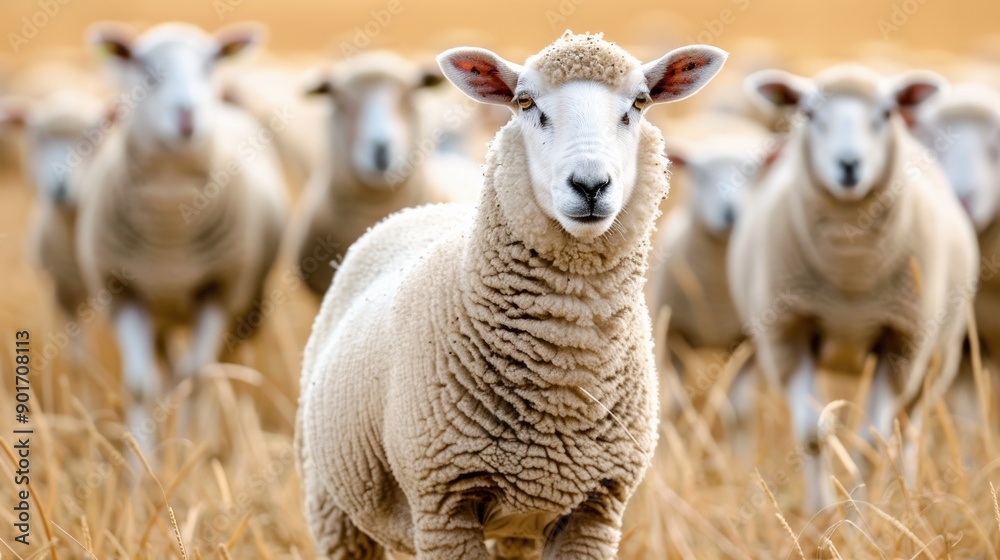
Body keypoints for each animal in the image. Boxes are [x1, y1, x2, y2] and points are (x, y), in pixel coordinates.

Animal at [75, 22, 288, 440]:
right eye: (146, 70)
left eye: (210, 65)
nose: (187, 114)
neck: (170, 219)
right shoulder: (123, 290)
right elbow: (140, 386)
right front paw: (142, 458)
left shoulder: (218, 288)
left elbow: (198, 377)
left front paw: (191, 448)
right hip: (160, 311)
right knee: (166, 372)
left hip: (242, 306)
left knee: (212, 367)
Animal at [730, 65, 979, 512]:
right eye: (809, 113)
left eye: (885, 113)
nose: (849, 165)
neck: (851, 270)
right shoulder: (790, 335)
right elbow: (813, 434)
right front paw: (821, 515)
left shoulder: (901, 342)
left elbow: (872, 444)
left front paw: (863, 518)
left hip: (937, 357)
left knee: (908, 429)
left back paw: (904, 499)